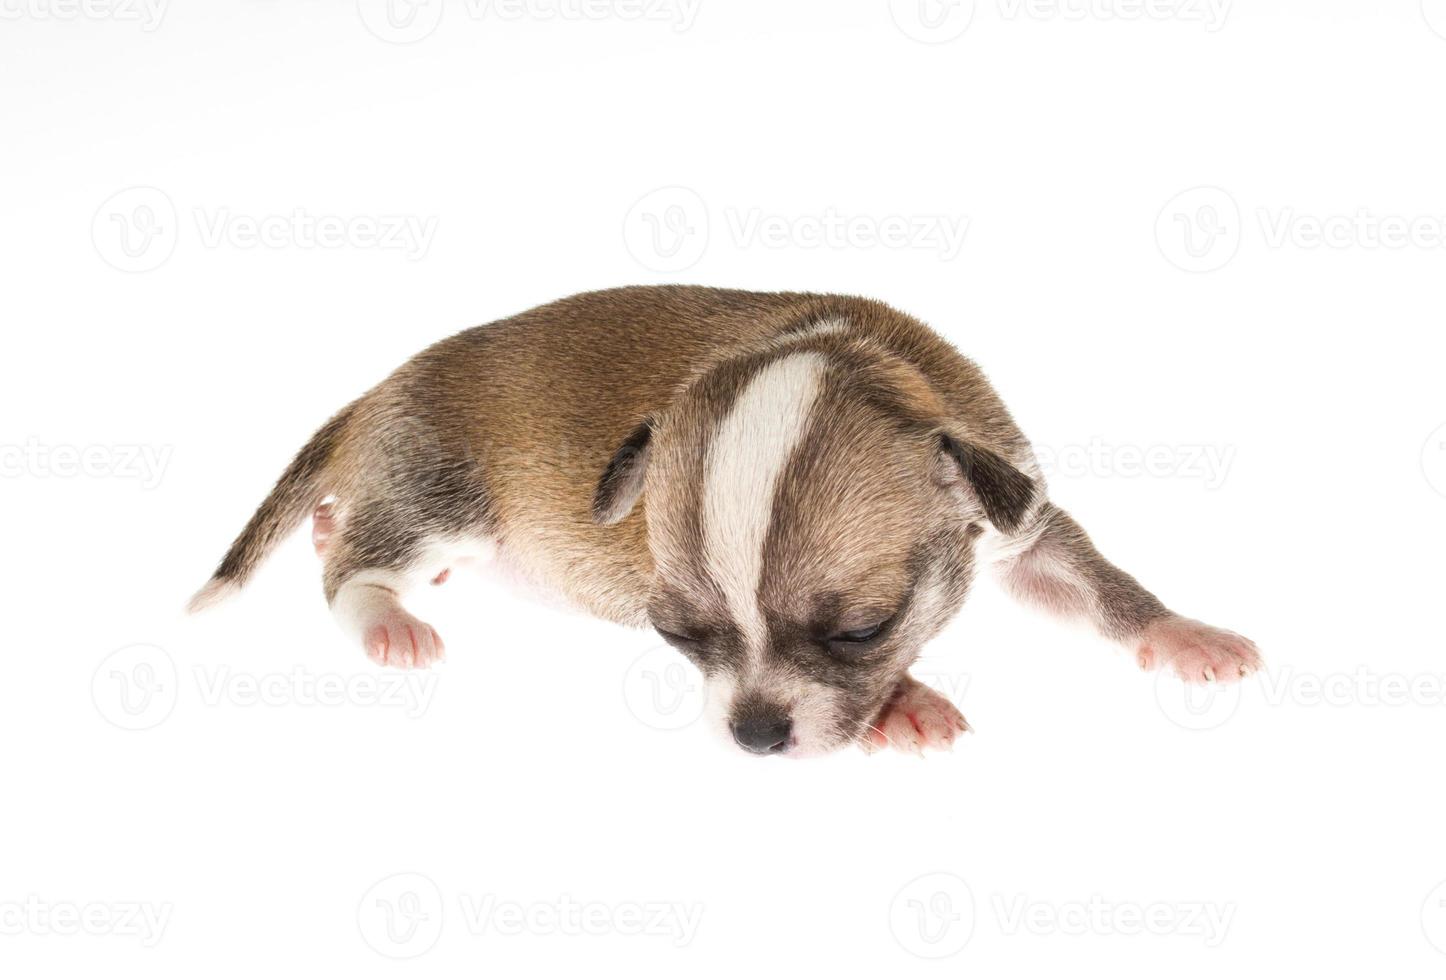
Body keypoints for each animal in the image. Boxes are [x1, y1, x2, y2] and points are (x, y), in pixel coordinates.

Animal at [189, 286, 1255, 757]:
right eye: (677, 634)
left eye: (862, 629)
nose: (754, 735)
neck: (841, 351)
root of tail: (374, 393)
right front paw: (906, 704)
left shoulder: (1017, 523)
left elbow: (1100, 587)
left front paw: (1182, 633)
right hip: (442, 494)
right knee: (353, 570)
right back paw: (389, 620)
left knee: (346, 533)